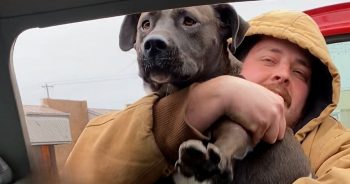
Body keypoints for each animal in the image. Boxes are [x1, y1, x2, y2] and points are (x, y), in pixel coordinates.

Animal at [119, 3, 310, 183]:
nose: (152, 44)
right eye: (145, 24)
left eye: (189, 21)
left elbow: (232, 137)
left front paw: (206, 161)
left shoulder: (243, 125)